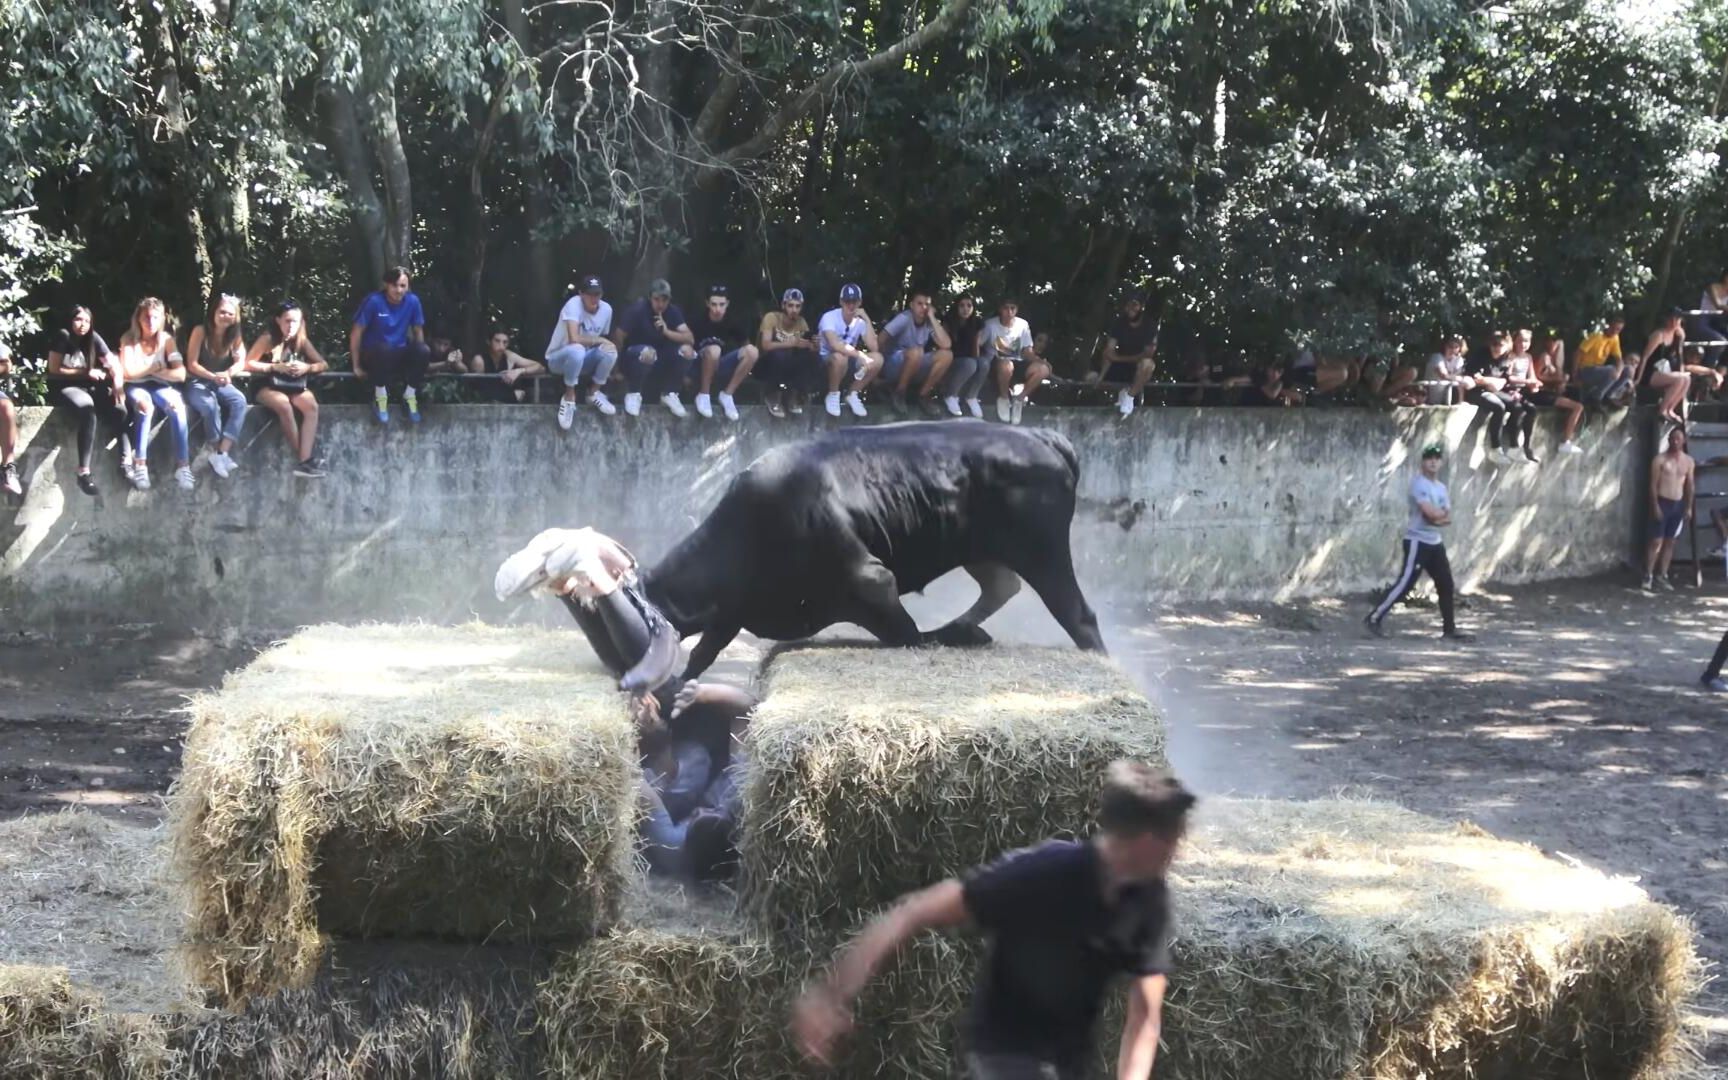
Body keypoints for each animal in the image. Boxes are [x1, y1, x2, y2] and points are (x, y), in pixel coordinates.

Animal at [635, 416, 1105, 677]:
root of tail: (1038, 435)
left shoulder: (871, 580)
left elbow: (907, 635)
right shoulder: (733, 612)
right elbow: (703, 654)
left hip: (1042, 550)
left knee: (1078, 615)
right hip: (982, 550)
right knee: (1002, 586)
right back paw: (961, 626)